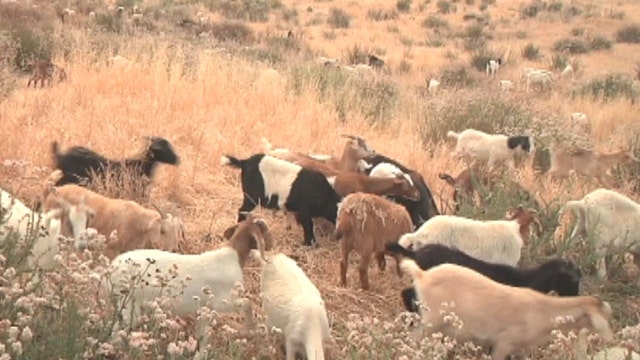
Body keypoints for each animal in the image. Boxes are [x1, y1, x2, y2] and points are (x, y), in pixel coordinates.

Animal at [107, 214, 270, 352]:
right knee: (115, 335)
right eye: (264, 228)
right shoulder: (222, 302)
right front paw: (250, 328)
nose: (271, 245)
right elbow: (248, 303)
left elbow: (203, 337)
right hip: (128, 305)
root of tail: (112, 267)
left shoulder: (205, 309)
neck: (234, 256)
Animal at [400, 262, 616, 360]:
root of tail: (422, 274)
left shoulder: (518, 348)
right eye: (602, 320)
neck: (542, 310)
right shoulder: (504, 342)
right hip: (430, 321)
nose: (610, 340)